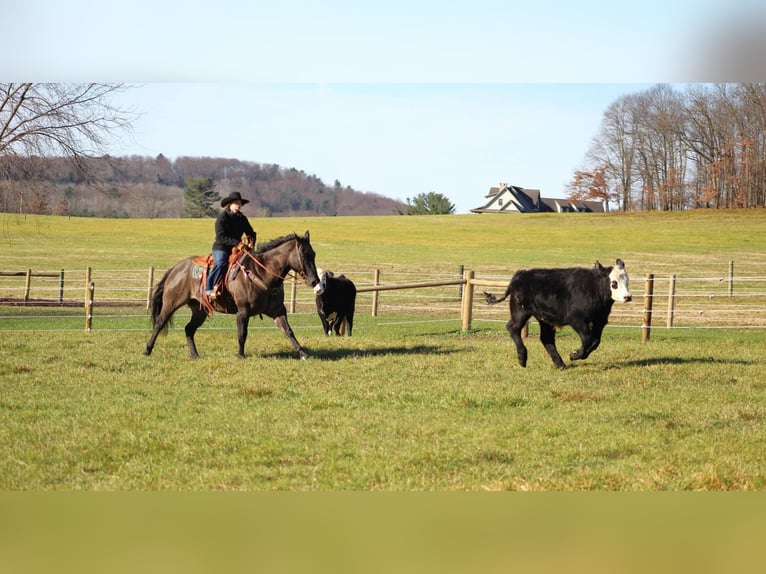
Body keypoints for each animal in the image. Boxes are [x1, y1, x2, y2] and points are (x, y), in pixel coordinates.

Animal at [144, 231, 324, 360]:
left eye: (314, 254)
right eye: (304, 255)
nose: (314, 280)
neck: (262, 272)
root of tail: (176, 268)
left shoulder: (278, 311)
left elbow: (288, 331)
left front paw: (302, 353)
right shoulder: (243, 311)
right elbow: (242, 334)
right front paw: (240, 355)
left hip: (199, 310)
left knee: (189, 329)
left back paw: (195, 355)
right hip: (171, 303)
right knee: (159, 323)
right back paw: (147, 350)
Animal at [486, 260, 636, 368]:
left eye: (627, 281)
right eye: (614, 283)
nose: (627, 297)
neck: (593, 289)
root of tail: (520, 275)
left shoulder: (600, 321)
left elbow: (595, 341)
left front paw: (577, 355)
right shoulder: (576, 319)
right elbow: (588, 339)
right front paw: (574, 355)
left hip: (544, 319)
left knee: (546, 338)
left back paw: (560, 364)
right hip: (520, 312)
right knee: (513, 328)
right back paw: (522, 358)